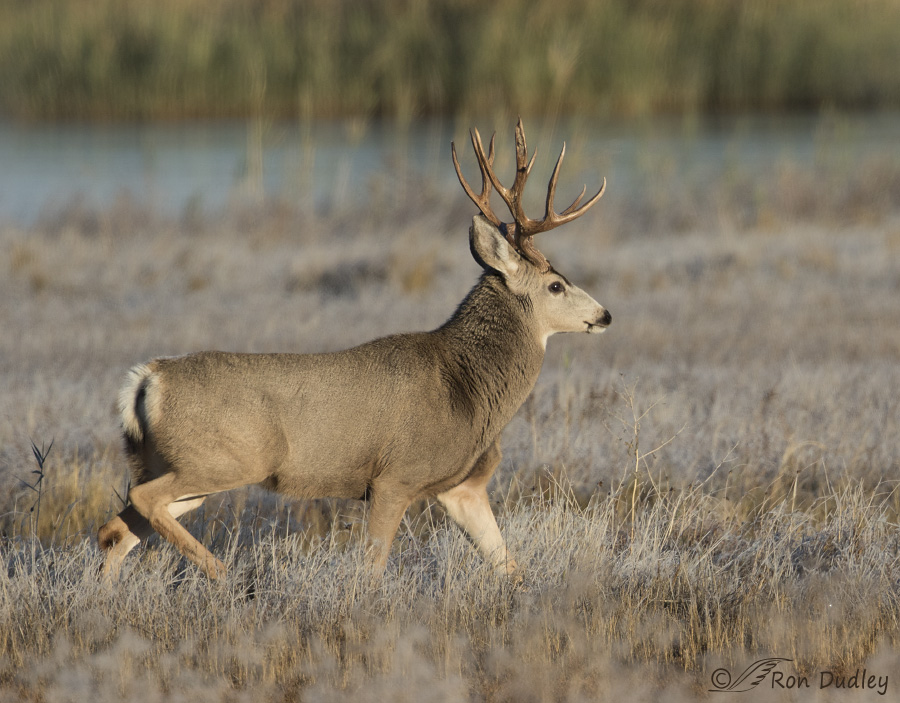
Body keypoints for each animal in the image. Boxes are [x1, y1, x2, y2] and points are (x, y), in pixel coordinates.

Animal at [97, 119, 611, 580]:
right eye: (556, 285)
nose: (605, 315)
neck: (467, 388)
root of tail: (147, 380)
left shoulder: (461, 487)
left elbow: (510, 566)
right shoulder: (393, 477)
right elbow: (372, 569)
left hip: (168, 463)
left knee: (115, 531)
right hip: (226, 458)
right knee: (137, 506)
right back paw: (223, 574)